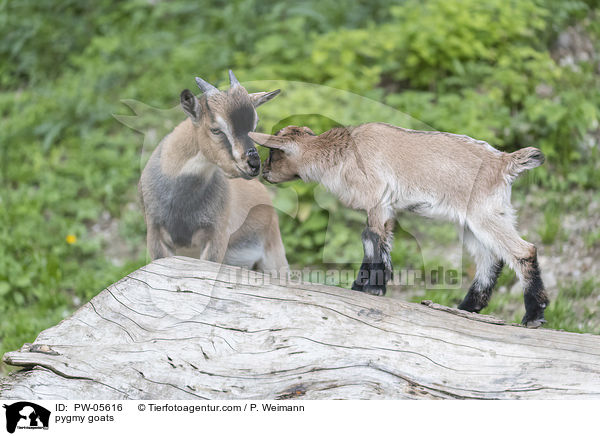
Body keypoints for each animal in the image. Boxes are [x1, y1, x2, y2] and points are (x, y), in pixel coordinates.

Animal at [251, 123, 552, 328]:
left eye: (273, 153)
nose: (264, 173)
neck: (343, 153)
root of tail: (504, 162)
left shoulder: (377, 203)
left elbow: (374, 239)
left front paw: (374, 288)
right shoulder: (383, 208)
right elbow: (370, 240)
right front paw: (361, 286)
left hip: (485, 216)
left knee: (523, 251)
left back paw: (533, 315)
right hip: (474, 222)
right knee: (490, 259)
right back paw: (467, 307)